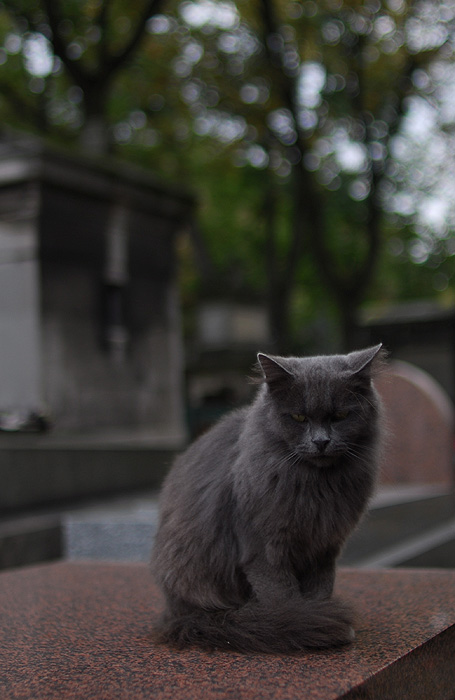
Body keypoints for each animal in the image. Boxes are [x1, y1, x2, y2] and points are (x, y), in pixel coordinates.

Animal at [152, 344, 385, 653]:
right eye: (299, 418)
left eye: (341, 415)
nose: (321, 442)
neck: (316, 487)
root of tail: (174, 612)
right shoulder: (263, 550)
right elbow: (282, 598)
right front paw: (304, 624)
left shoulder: (324, 549)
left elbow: (320, 590)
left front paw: (319, 619)